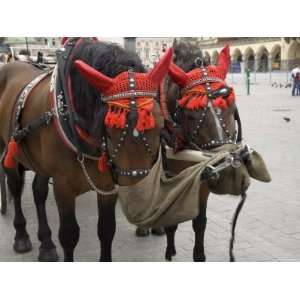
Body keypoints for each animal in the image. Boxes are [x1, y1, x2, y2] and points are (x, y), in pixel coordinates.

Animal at [0, 38, 172, 262]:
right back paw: (21, 236)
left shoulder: (107, 184)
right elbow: (69, 235)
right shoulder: (63, 188)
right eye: (110, 128)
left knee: (38, 191)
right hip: (11, 151)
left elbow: (107, 230)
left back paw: (46, 243)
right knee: (14, 185)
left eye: (160, 124)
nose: (139, 193)